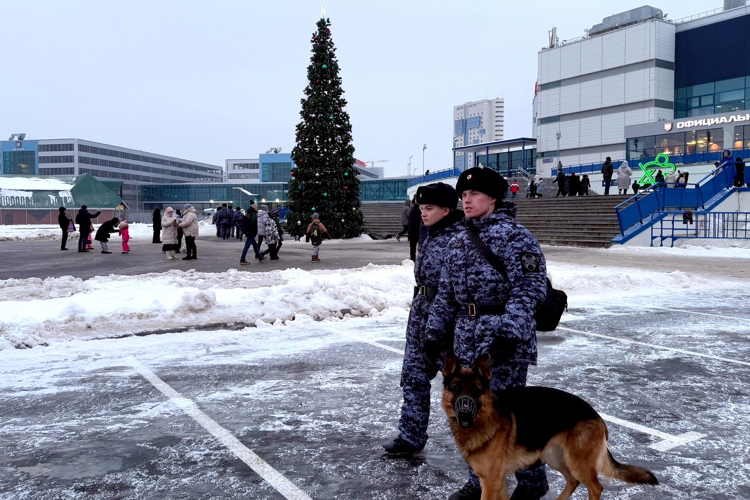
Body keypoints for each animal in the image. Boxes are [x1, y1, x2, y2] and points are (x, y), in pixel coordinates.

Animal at [444, 352, 660, 500]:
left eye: (476, 390)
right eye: (456, 388)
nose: (464, 415)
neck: (485, 418)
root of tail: (597, 416)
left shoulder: (490, 482)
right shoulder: (497, 481)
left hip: (576, 461)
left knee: (595, 487)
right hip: (553, 456)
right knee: (573, 481)